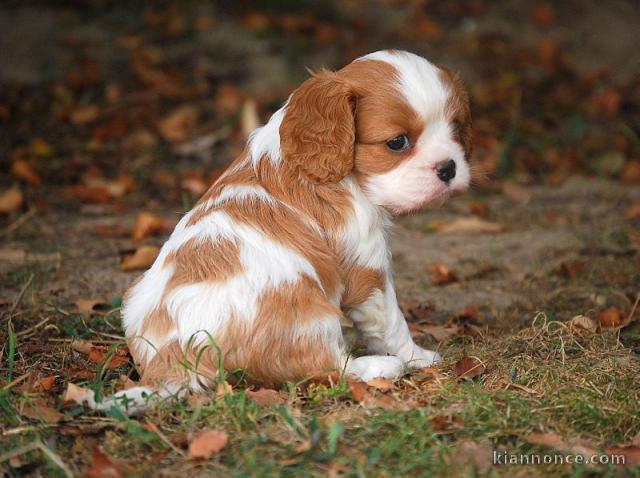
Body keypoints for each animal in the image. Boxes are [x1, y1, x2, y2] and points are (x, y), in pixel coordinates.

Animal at [96, 49, 476, 414]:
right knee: (324, 366)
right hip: (309, 310)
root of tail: (173, 358)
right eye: (397, 142)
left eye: (456, 129)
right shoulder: (367, 267)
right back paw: (380, 367)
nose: (448, 168)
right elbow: (391, 321)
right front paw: (418, 357)